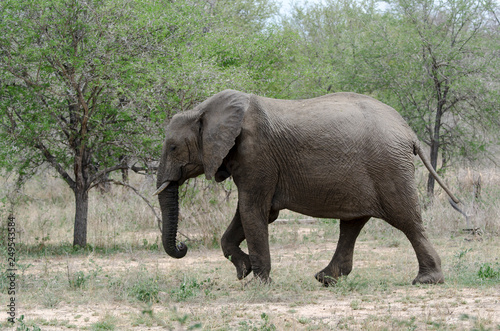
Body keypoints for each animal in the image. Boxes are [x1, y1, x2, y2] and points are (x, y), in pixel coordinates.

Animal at [154, 89, 462, 286]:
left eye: (173, 147)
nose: (182, 246)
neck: (204, 110)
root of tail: (409, 131)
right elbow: (257, 213)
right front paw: (244, 271)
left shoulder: (256, 155)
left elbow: (253, 210)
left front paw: (258, 283)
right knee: (352, 223)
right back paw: (325, 279)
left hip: (389, 166)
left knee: (407, 220)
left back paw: (426, 281)